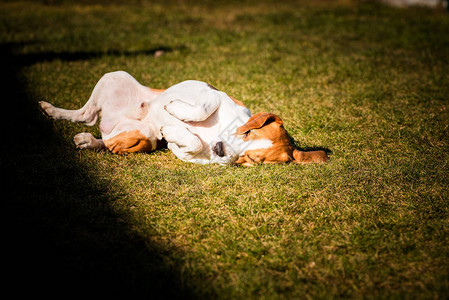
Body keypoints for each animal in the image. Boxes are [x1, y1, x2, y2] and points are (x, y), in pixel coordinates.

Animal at [40, 70, 328, 165]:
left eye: (253, 159)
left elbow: (192, 144)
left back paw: (88, 139)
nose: (221, 150)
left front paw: (174, 134)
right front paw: (175, 111)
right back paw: (51, 109)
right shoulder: (214, 94)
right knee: (86, 113)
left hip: (141, 135)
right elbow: (205, 107)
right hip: (115, 75)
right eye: (247, 132)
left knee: (101, 133)